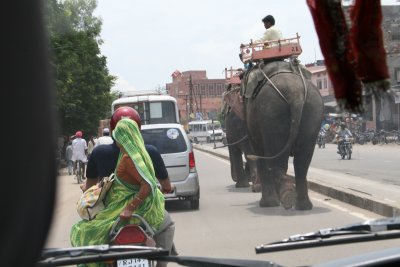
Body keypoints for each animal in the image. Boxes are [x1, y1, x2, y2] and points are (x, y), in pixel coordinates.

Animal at [238, 59, 324, 211]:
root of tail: (295, 94)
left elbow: (259, 152)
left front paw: (268, 204)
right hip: (313, 110)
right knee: (302, 161)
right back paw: (302, 205)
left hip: (272, 113)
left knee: (277, 158)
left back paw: (283, 199)